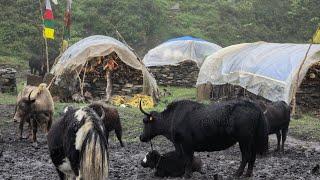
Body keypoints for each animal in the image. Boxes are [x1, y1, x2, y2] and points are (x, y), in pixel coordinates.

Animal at [139, 99, 268, 178]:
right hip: (252, 139)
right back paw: (248, 174)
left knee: (246, 155)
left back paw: (237, 173)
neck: (172, 118)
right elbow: (185, 158)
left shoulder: (186, 144)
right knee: (253, 156)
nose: (141, 137)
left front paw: (187, 175)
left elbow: (188, 159)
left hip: (244, 139)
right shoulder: (180, 145)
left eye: (145, 121)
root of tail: (255, 106)